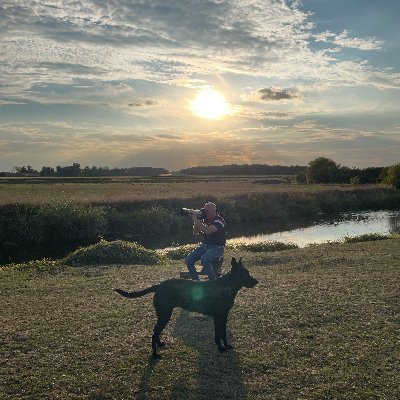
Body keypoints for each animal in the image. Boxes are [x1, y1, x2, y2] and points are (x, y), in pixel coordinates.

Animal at [115, 258, 260, 358]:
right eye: (245, 273)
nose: (256, 281)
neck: (227, 287)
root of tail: (159, 285)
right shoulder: (218, 317)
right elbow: (218, 334)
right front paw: (220, 348)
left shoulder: (224, 317)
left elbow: (223, 333)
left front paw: (227, 346)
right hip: (165, 314)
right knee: (155, 332)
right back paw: (155, 354)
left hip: (164, 314)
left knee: (156, 332)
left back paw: (160, 344)